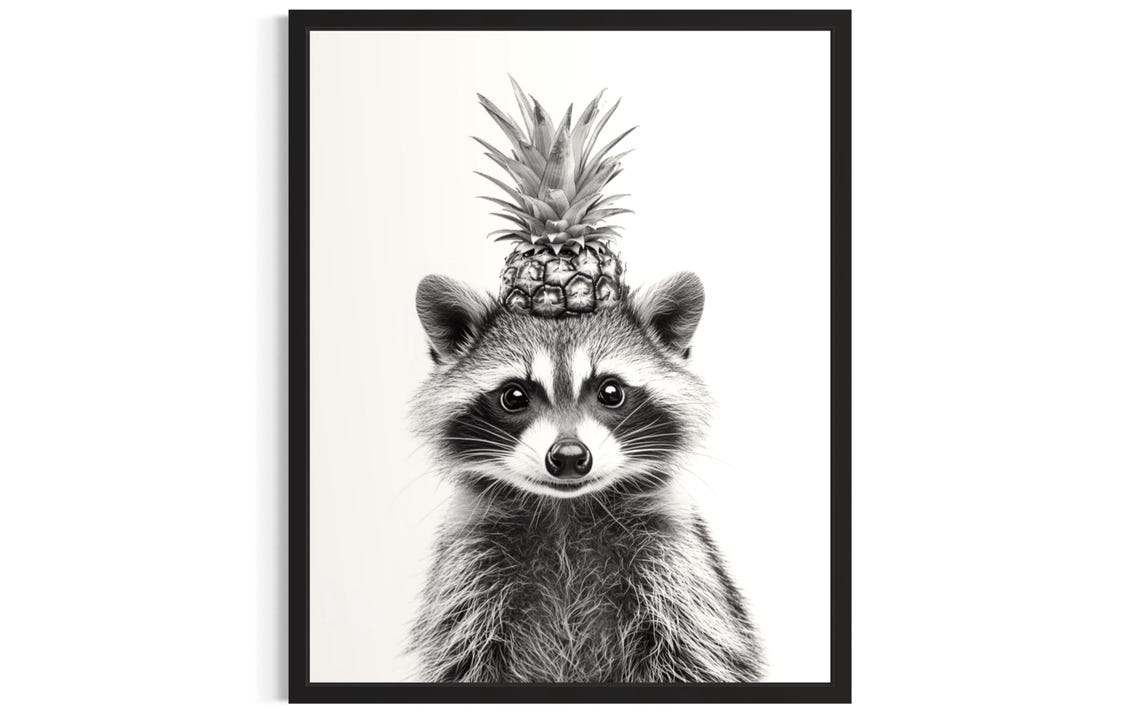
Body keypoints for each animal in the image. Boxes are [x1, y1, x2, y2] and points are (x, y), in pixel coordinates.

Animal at [407, 271, 763, 682]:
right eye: (514, 396)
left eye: (611, 391)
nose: (568, 457)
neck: (565, 509)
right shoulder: (468, 567)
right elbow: (462, 658)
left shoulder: (677, 564)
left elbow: (695, 654)